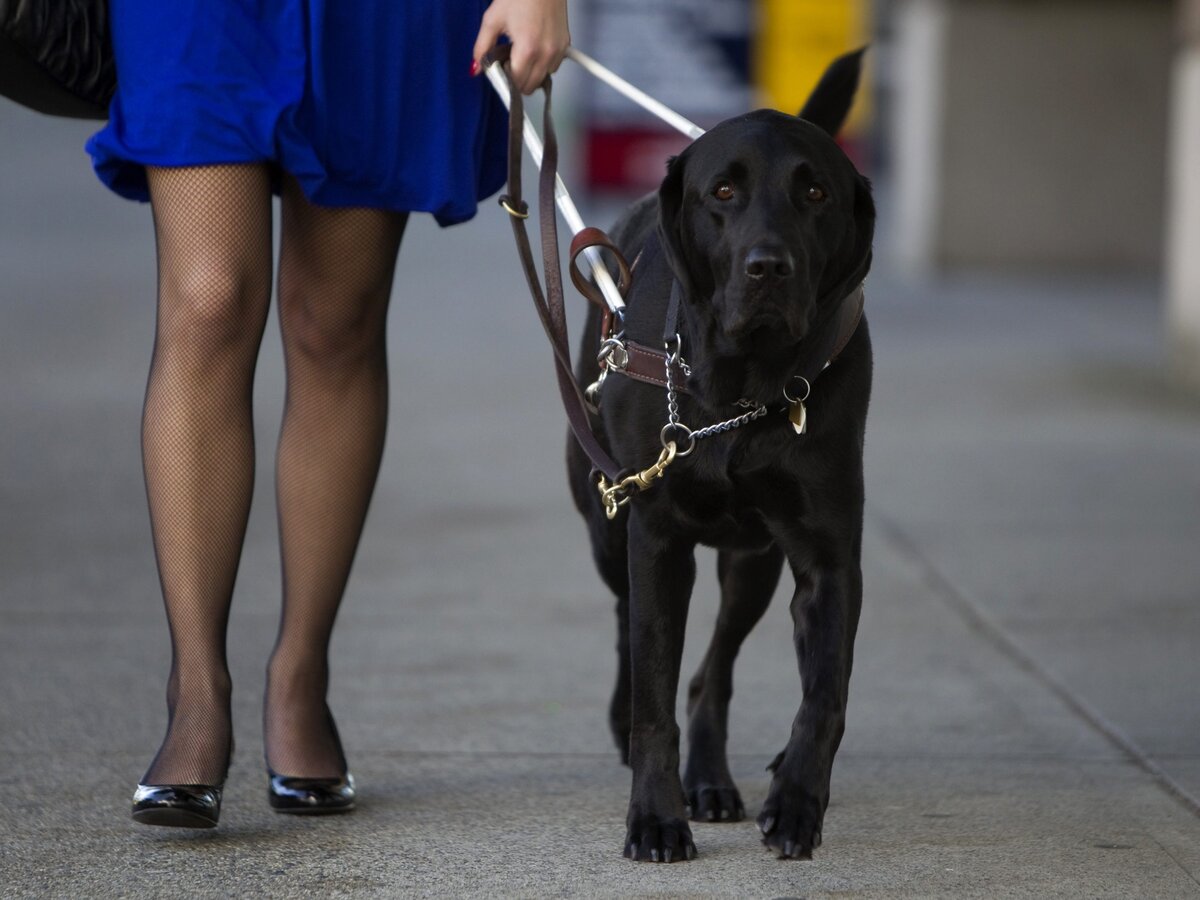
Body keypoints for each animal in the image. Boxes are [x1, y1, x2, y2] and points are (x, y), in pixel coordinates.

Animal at [566, 51, 878, 868]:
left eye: (815, 192)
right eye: (724, 193)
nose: (769, 267)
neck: (745, 387)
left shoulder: (828, 557)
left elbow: (825, 696)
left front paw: (797, 802)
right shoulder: (655, 536)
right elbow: (654, 696)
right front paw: (654, 818)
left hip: (752, 562)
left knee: (713, 671)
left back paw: (710, 779)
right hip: (608, 526)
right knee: (631, 628)